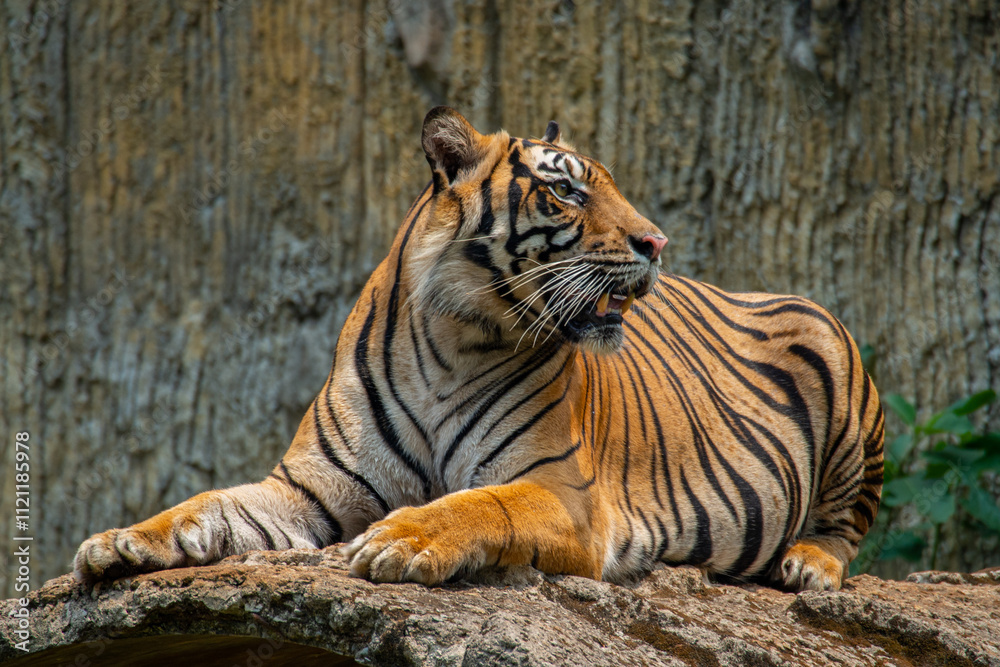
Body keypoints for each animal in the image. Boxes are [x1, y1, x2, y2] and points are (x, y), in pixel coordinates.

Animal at [75, 107, 884, 592]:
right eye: (568, 193)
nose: (657, 242)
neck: (449, 340)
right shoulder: (308, 489)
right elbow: (208, 504)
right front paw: (120, 540)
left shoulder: (560, 491)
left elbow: (480, 502)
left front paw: (399, 538)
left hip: (841, 366)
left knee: (850, 527)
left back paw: (808, 564)